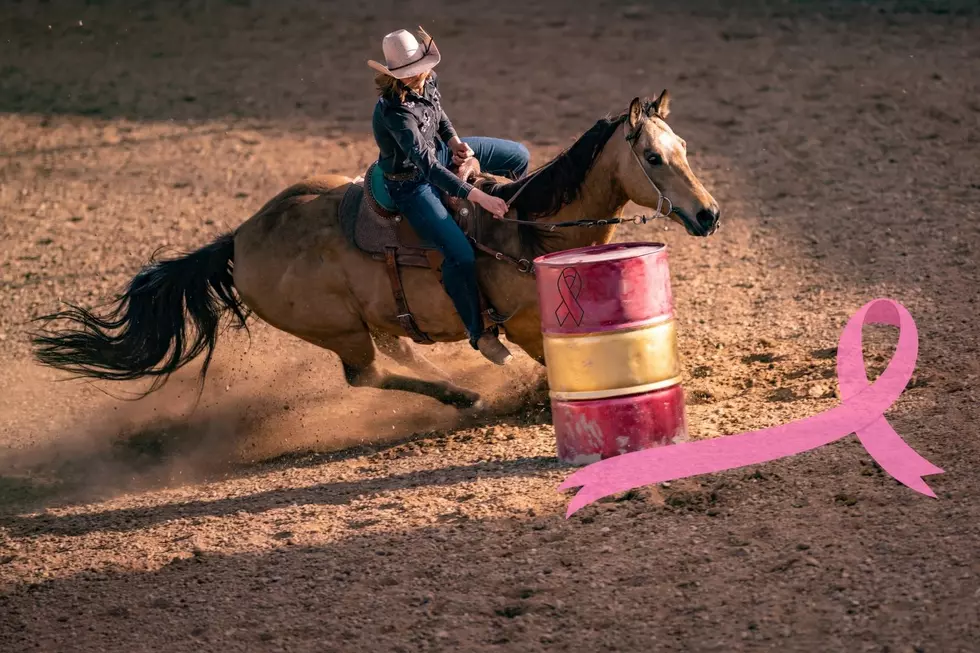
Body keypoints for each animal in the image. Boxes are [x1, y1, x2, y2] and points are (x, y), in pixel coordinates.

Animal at [32, 89, 720, 410]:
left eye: (684, 145)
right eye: (652, 157)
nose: (709, 214)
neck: (530, 226)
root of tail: (240, 238)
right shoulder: (528, 325)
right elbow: (552, 363)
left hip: (374, 319)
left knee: (397, 352)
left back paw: (458, 387)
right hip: (337, 330)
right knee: (367, 375)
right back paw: (463, 396)